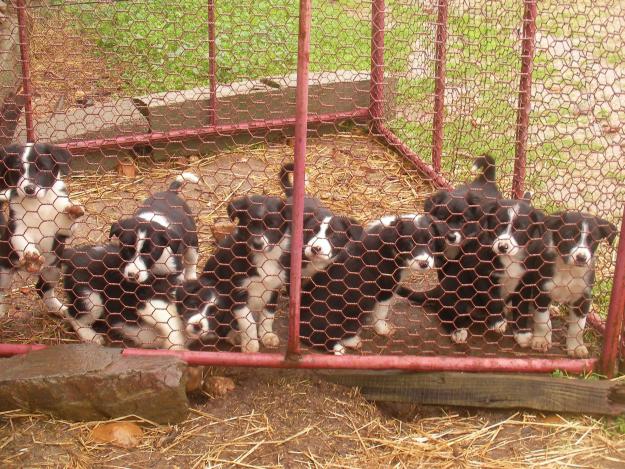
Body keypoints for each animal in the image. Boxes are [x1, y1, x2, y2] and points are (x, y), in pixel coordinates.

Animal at [0, 142, 84, 318]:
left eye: (42, 168)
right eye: (18, 169)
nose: (29, 189)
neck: (37, 204)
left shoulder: (62, 229)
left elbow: (67, 218)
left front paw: (73, 209)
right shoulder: (18, 229)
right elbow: (23, 242)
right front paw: (31, 255)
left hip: (53, 270)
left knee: (42, 289)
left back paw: (60, 309)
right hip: (3, 270)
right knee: (2, 291)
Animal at [61, 241, 212, 348]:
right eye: (194, 304)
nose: (198, 326)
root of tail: (74, 254)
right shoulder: (151, 305)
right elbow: (171, 326)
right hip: (92, 300)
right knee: (71, 314)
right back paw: (91, 336)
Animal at [298, 214, 442, 352]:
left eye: (430, 242)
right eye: (410, 243)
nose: (424, 264)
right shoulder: (385, 289)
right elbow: (381, 313)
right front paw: (384, 329)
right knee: (321, 338)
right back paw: (344, 346)